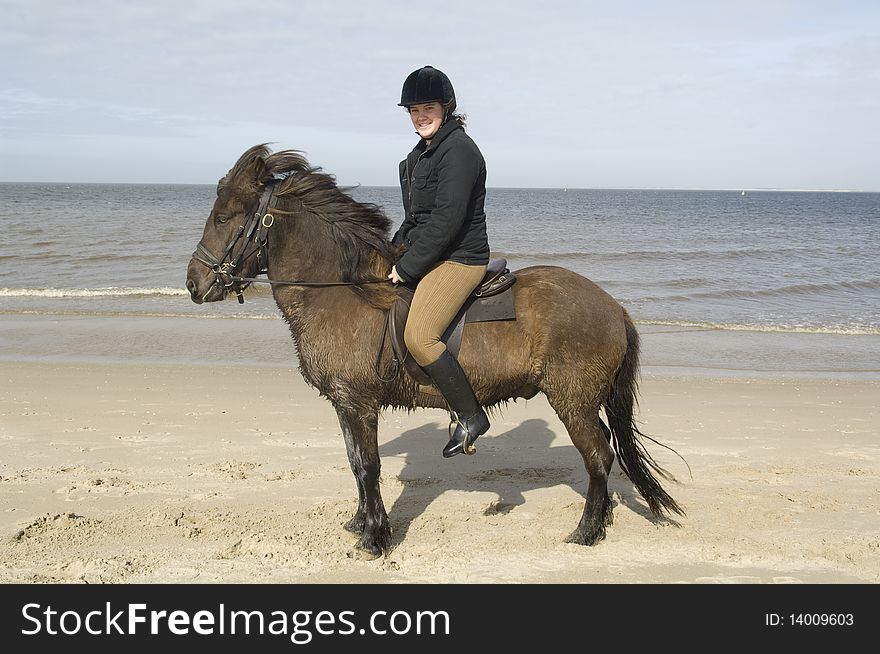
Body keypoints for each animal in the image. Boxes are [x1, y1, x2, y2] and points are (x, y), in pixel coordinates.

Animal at [182, 145, 684, 560]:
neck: (343, 292)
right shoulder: (344, 405)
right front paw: (359, 523)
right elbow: (354, 464)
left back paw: (586, 532)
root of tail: (613, 306)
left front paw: (375, 539)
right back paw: (599, 523)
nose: (193, 283)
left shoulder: (359, 404)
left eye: (224, 217)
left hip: (572, 401)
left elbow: (369, 466)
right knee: (604, 453)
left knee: (598, 457)